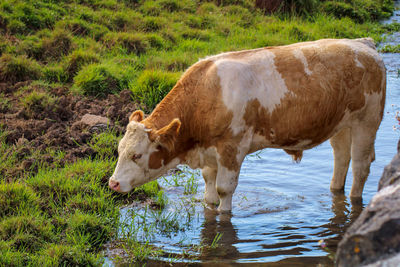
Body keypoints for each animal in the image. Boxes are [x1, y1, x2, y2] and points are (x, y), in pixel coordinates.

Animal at [108, 38, 386, 213]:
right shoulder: (209, 154)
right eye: (119, 151)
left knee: (361, 165)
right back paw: (335, 190)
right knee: (341, 158)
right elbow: (209, 189)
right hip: (341, 125)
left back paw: (356, 201)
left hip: (367, 121)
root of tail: (362, 44)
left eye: (137, 155)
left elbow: (224, 190)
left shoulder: (232, 148)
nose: (113, 184)